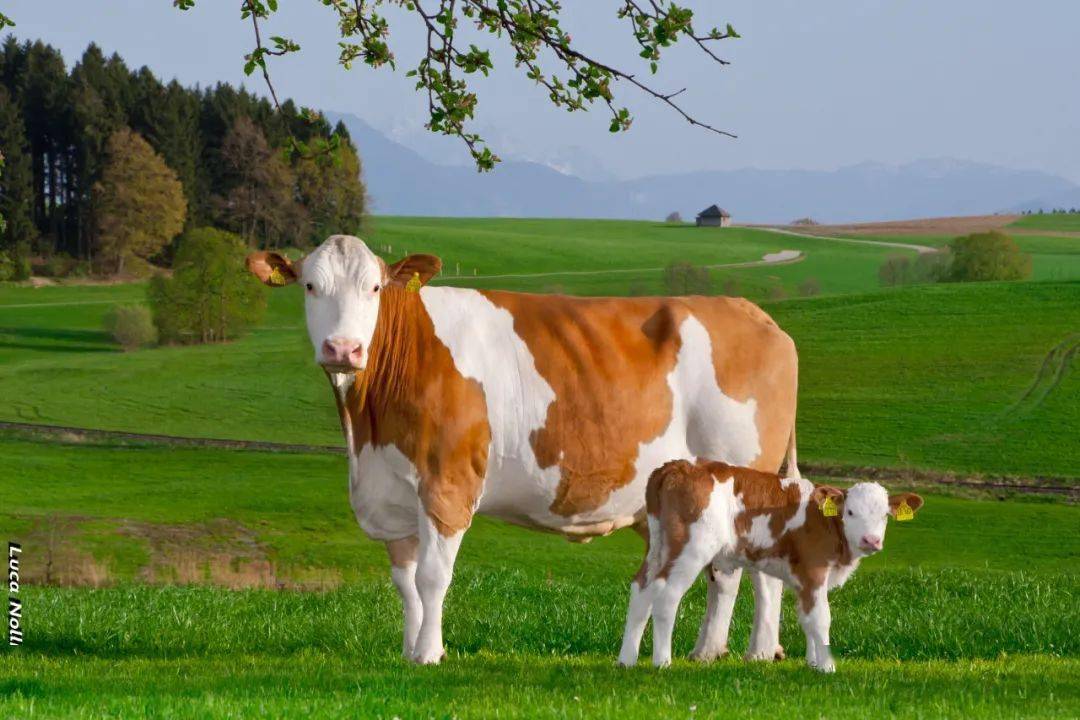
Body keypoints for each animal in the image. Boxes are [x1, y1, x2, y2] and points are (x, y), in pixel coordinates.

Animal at [247, 235, 803, 664]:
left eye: (375, 287)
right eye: (310, 285)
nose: (343, 349)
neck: (368, 431)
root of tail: (749, 312)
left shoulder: (448, 483)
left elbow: (433, 577)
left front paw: (429, 653)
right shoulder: (392, 493)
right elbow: (405, 583)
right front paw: (409, 650)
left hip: (741, 473)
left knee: (743, 570)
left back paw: (734, 650)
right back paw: (736, 650)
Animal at [622, 459, 924, 673]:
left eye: (884, 515)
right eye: (850, 512)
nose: (871, 540)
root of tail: (679, 466)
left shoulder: (803, 579)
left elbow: (806, 617)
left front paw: (812, 663)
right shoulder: (813, 570)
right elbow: (821, 617)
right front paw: (827, 666)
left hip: (657, 545)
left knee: (642, 590)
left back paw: (627, 659)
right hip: (690, 550)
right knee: (667, 596)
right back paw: (662, 662)